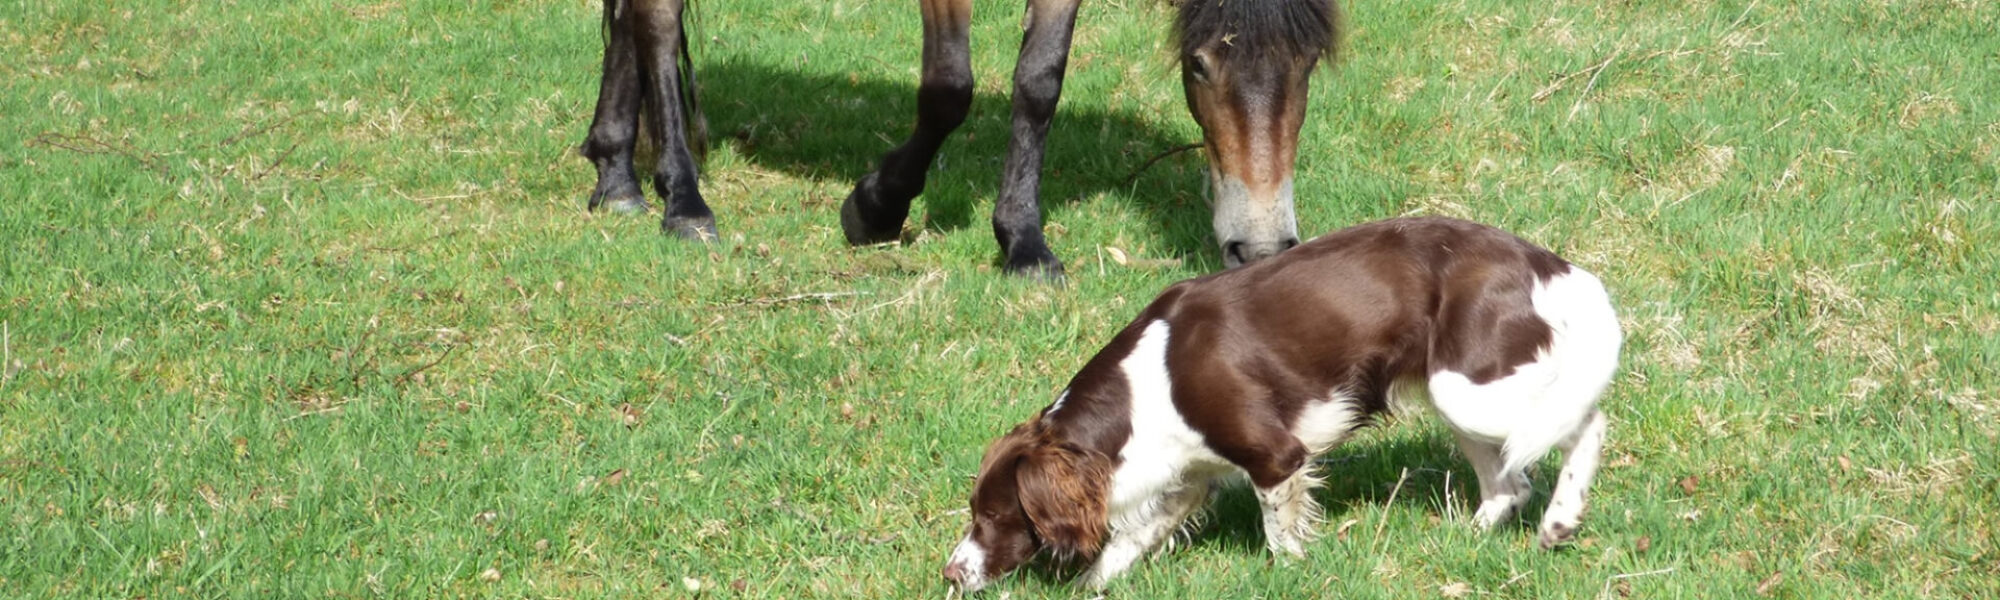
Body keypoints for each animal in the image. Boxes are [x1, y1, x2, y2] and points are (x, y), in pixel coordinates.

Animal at [580, 0, 1344, 276]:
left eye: (1309, 65)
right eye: (1199, 64)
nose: (1261, 250)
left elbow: (1041, 78)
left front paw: (1023, 241)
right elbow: (950, 87)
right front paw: (876, 207)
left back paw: (617, 174)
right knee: (654, 21)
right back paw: (684, 202)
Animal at [940, 217, 1624, 592]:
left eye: (992, 516)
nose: (951, 573)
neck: (1143, 391)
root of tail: (1551, 265)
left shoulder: (1275, 456)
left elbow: (1278, 531)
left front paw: (1291, 572)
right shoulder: (1184, 479)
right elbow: (1123, 548)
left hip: (1471, 389)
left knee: (1585, 425)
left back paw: (1561, 521)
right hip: (1455, 398)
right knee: (1509, 483)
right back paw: (1462, 538)